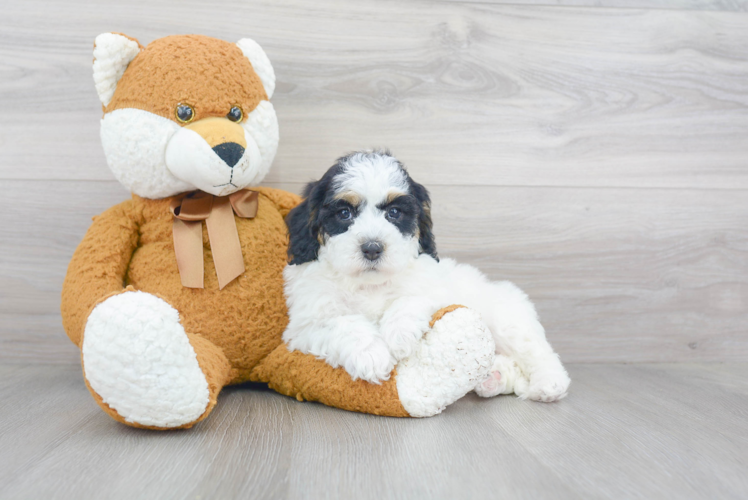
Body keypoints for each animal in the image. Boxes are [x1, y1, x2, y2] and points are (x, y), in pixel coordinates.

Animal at [284, 150, 568, 400]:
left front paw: (398, 335)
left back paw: (549, 383)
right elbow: (343, 323)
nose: (372, 248)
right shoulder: (305, 326)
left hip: (507, 319)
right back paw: (492, 378)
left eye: (394, 213)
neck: (370, 284)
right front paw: (372, 355)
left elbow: (410, 298)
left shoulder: (433, 286)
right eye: (344, 213)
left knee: (536, 351)